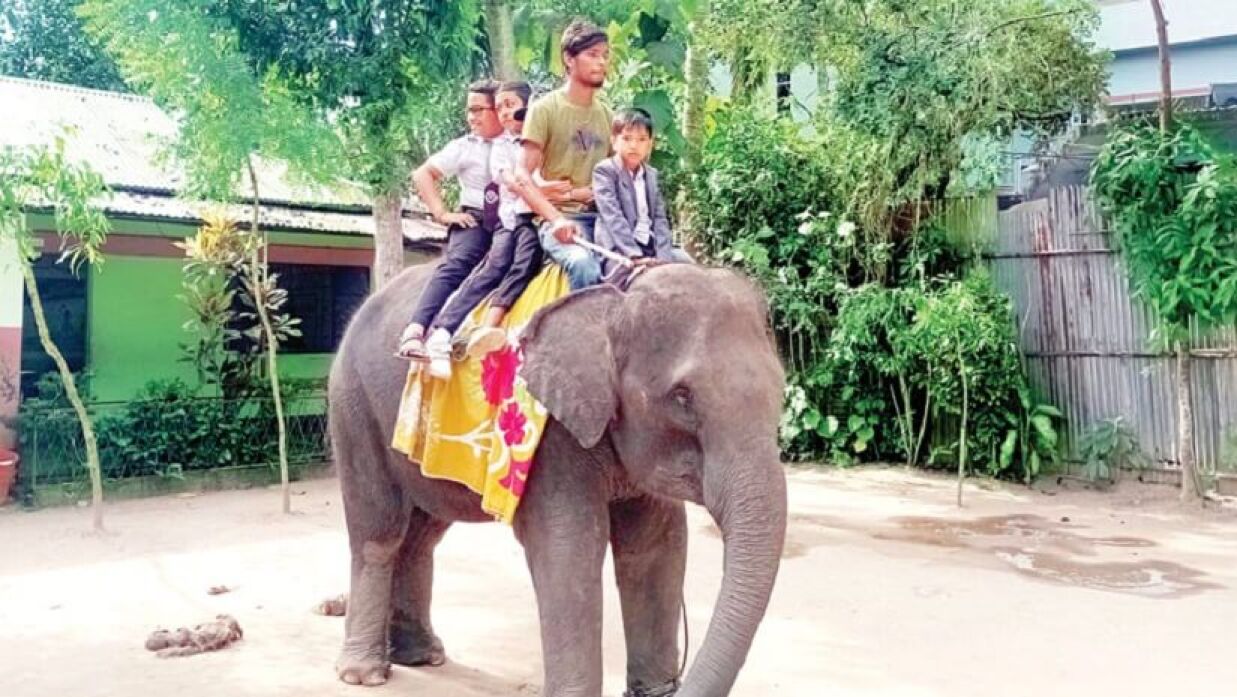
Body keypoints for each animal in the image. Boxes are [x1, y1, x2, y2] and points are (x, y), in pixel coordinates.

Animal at [329, 263, 786, 697]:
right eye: (682, 397)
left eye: (781, 390)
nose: (677, 685)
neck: (617, 295)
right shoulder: (549, 436)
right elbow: (569, 547)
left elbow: (656, 547)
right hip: (353, 405)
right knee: (381, 530)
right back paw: (364, 674)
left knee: (423, 533)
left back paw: (421, 656)